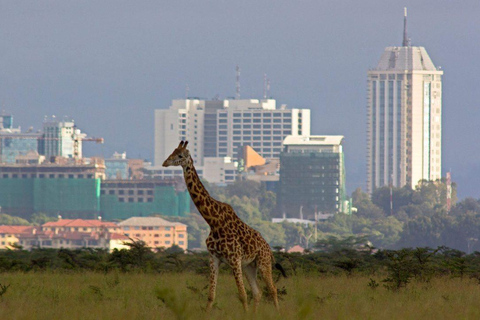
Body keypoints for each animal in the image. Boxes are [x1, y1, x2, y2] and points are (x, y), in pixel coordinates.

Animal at [163, 141, 286, 312]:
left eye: (180, 155)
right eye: (172, 151)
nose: (165, 162)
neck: (213, 222)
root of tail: (269, 248)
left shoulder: (234, 259)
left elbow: (242, 295)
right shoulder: (214, 258)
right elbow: (211, 295)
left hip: (263, 263)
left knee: (272, 289)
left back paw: (277, 312)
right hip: (249, 266)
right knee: (258, 292)